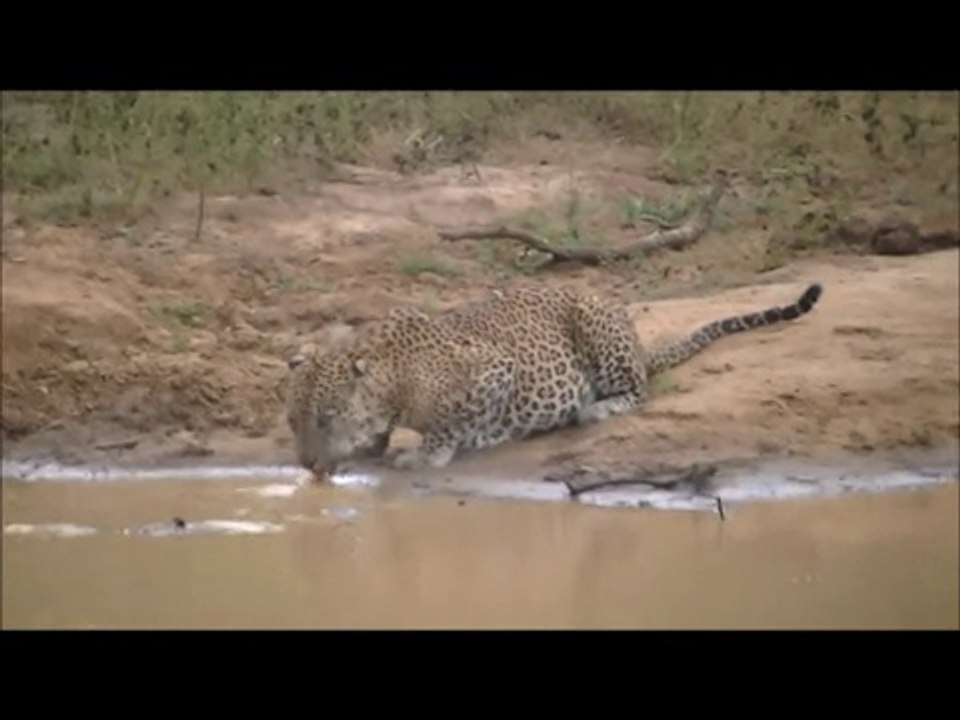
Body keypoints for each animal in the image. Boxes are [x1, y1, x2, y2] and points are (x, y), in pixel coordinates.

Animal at [286, 282, 823, 476]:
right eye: (292, 421)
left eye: (327, 417)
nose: (306, 465)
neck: (392, 377)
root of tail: (638, 340)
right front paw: (372, 446)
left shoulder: (493, 370)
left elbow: (453, 424)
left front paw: (428, 453)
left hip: (595, 321)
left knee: (639, 389)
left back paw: (597, 407)